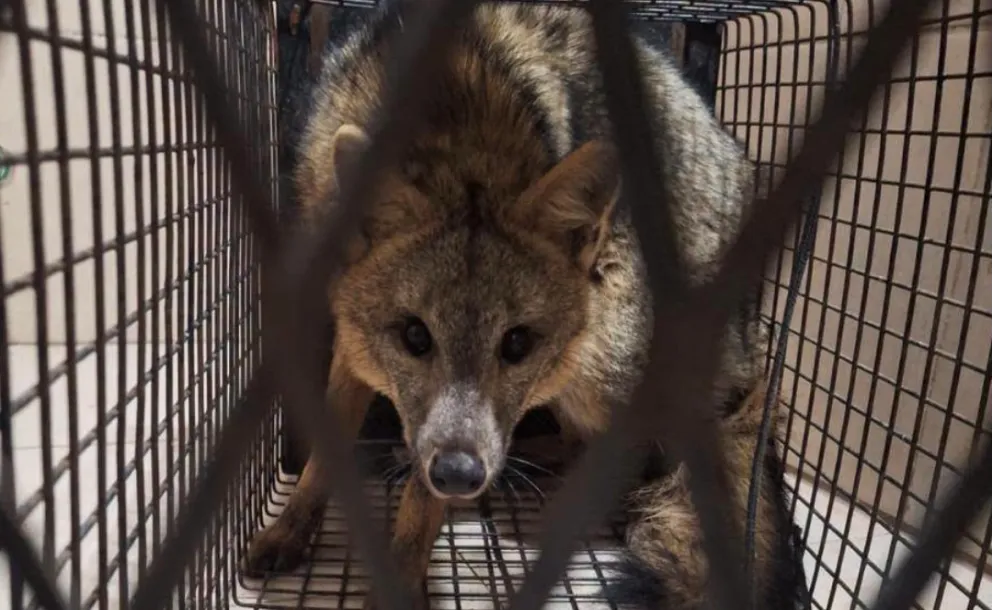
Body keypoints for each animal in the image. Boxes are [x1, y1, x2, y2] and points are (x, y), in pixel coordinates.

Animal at [242, 2, 807, 609]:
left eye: (516, 343)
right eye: (415, 336)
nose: (460, 475)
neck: (454, 118)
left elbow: (420, 503)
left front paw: (401, 576)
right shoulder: (352, 341)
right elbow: (323, 461)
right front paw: (290, 527)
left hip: (598, 347)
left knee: (632, 457)